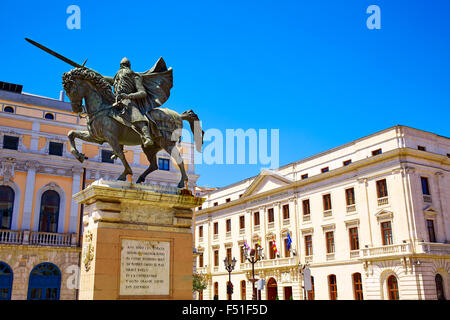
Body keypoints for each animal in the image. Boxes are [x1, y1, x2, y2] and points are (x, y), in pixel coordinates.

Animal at [62, 67, 203, 188]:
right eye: (66, 91)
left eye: (72, 89)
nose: (76, 108)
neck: (102, 108)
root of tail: (179, 116)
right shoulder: (95, 137)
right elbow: (71, 133)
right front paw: (78, 155)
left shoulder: (110, 137)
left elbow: (120, 153)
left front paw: (125, 173)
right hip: (151, 147)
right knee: (154, 165)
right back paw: (140, 179)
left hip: (167, 142)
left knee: (179, 160)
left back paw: (181, 183)